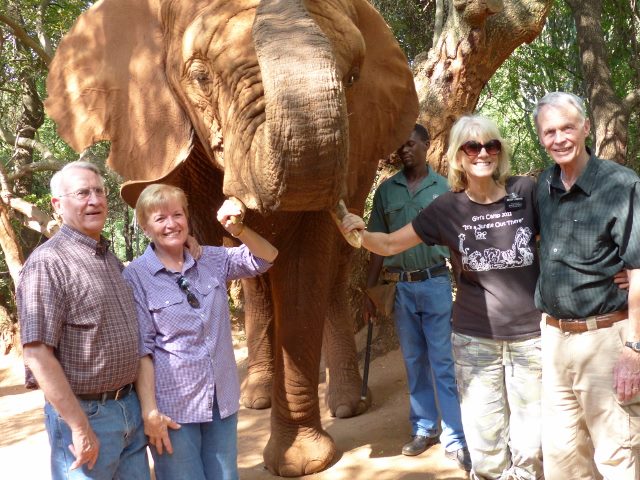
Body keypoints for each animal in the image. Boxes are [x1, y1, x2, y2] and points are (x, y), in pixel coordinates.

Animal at [44, 0, 418, 475]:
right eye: (200, 76)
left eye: (353, 77)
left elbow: (305, 273)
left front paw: (301, 463)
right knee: (256, 284)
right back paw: (257, 396)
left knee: (331, 270)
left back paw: (348, 404)